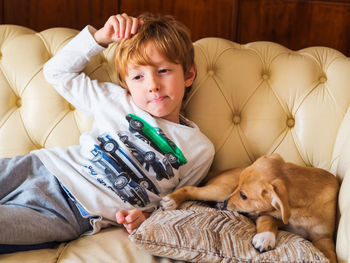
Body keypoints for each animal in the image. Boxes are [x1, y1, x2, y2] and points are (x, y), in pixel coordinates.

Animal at [161, 155, 340, 263]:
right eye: (239, 188)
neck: (298, 212)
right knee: (190, 189)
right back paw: (172, 200)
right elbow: (269, 222)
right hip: (220, 190)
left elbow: (330, 255)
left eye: (243, 195)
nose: (225, 203)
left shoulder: (323, 237)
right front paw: (265, 238)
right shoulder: (266, 214)